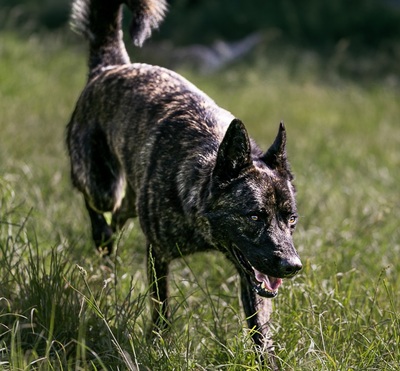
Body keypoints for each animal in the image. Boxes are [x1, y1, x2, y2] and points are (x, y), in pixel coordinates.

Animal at [67, 0, 302, 366]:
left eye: (290, 219)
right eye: (254, 216)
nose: (293, 267)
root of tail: (111, 67)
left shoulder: (251, 272)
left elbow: (260, 328)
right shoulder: (158, 253)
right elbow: (161, 308)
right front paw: (158, 346)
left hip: (130, 200)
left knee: (117, 218)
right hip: (103, 186)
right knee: (98, 210)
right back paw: (101, 244)